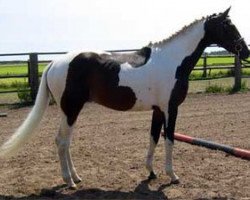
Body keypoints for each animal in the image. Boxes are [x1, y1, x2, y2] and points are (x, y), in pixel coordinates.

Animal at [0, 8, 249, 189]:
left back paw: (76, 177)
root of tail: (54, 63)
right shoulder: (171, 109)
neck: (173, 60)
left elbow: (153, 138)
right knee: (62, 141)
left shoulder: (158, 110)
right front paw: (172, 175)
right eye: (228, 26)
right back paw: (69, 181)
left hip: (68, 111)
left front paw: (151, 172)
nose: (245, 51)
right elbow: (169, 140)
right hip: (71, 109)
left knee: (65, 141)